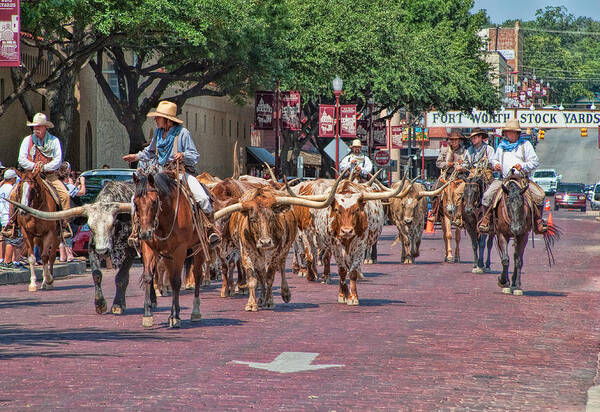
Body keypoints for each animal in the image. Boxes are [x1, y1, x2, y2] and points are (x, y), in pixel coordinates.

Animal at [135, 171, 210, 328]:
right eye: (136, 203)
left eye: (154, 202)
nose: (144, 233)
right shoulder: (149, 247)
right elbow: (148, 276)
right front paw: (147, 314)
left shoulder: (180, 249)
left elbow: (176, 281)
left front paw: (175, 316)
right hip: (168, 254)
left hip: (198, 248)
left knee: (197, 275)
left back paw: (195, 312)